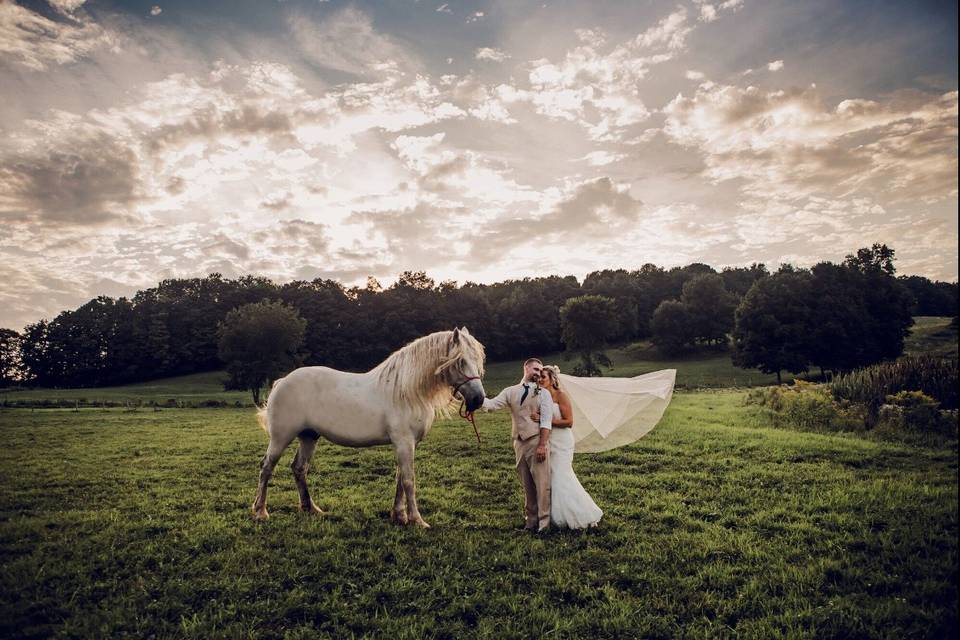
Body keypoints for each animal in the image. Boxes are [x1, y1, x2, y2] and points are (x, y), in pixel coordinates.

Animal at [253, 328, 488, 528]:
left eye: (477, 360)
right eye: (461, 361)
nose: (478, 399)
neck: (406, 391)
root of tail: (282, 381)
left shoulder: (406, 445)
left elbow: (399, 479)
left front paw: (399, 516)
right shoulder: (404, 442)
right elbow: (409, 481)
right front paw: (417, 520)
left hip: (309, 436)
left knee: (299, 468)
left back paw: (311, 509)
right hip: (281, 438)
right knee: (266, 467)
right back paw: (260, 511)